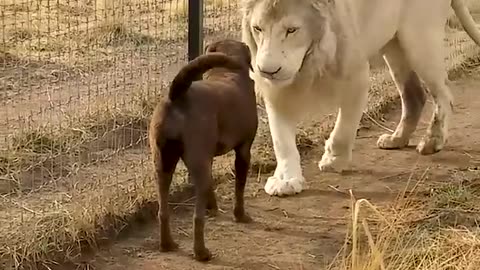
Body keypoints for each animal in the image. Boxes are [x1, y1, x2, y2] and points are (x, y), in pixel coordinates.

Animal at [148, 39, 256, 260]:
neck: (226, 72)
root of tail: (176, 95)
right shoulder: (243, 150)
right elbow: (239, 188)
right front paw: (240, 215)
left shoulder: (208, 158)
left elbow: (212, 185)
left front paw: (212, 207)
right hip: (197, 164)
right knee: (197, 218)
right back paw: (201, 252)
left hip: (163, 163)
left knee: (163, 211)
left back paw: (167, 244)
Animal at [242, 0, 480, 195]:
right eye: (257, 28)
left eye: (292, 30)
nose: (268, 71)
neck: (312, 60)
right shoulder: (275, 91)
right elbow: (281, 139)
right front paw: (286, 180)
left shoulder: (356, 76)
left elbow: (344, 128)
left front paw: (333, 160)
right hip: (393, 45)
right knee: (414, 94)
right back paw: (396, 139)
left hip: (419, 40)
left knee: (444, 93)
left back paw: (432, 141)